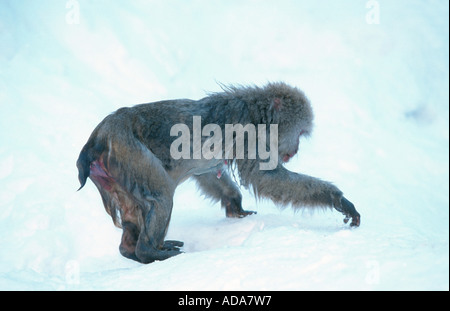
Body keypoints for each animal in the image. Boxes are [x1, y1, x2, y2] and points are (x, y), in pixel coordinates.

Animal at [76, 81, 358, 264]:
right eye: (299, 133)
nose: (296, 149)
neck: (258, 113)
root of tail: (98, 137)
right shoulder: (250, 137)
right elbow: (265, 179)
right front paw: (337, 198)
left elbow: (208, 173)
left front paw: (236, 205)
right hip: (128, 152)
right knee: (161, 196)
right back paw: (149, 252)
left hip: (114, 176)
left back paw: (130, 249)